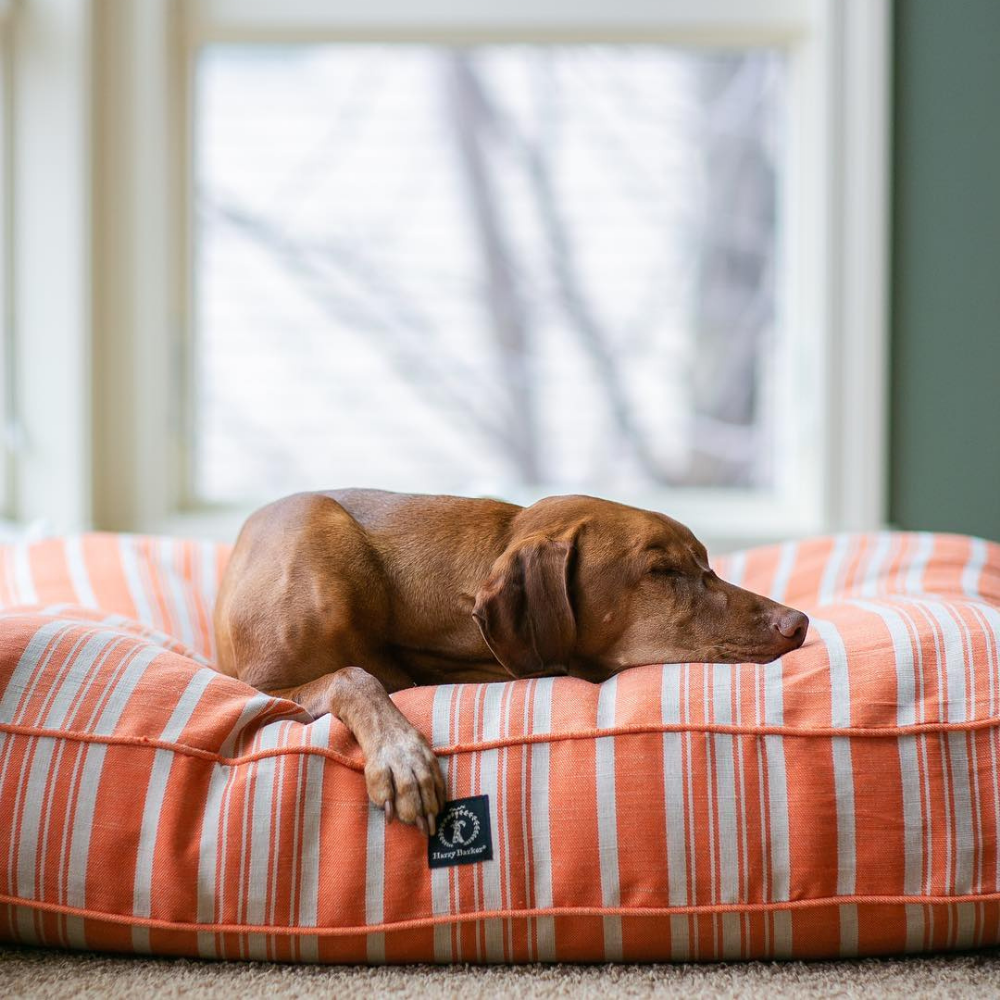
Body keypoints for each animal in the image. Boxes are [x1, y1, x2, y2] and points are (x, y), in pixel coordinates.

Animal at [215, 488, 808, 832]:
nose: (799, 623)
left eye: (707, 563)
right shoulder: (264, 686)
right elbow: (354, 677)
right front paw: (402, 757)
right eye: (662, 571)